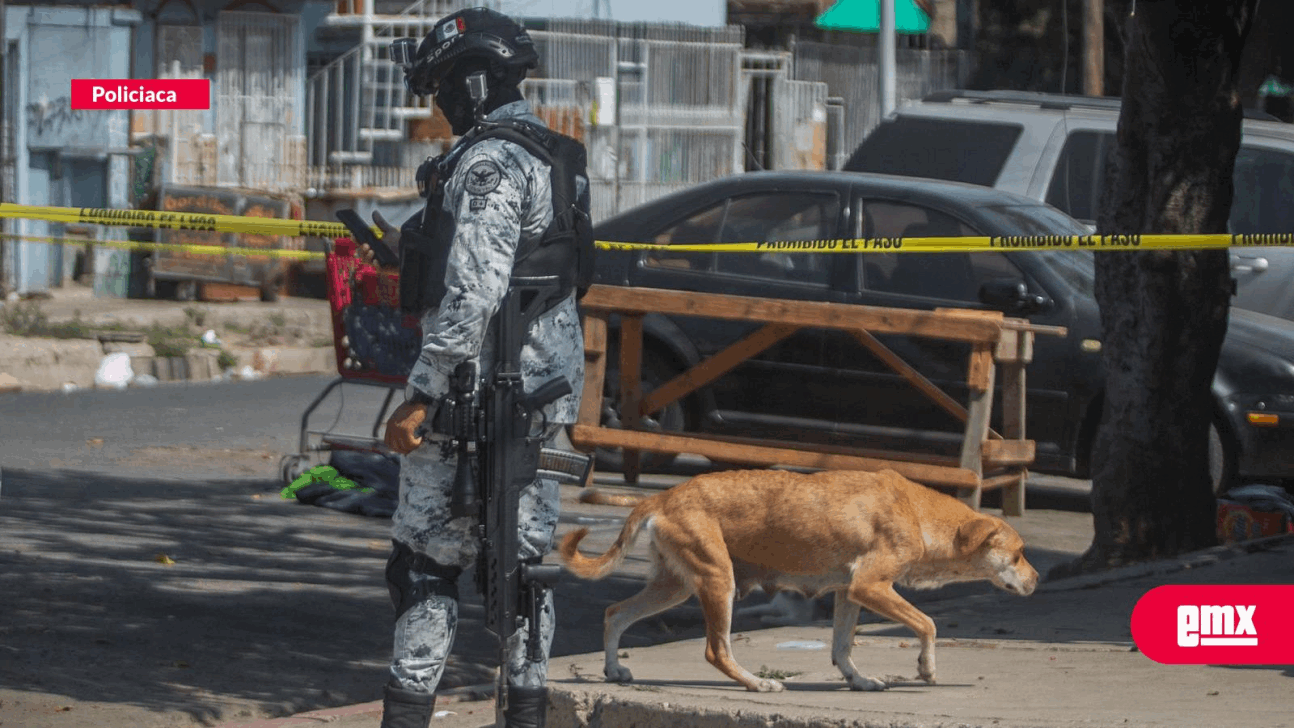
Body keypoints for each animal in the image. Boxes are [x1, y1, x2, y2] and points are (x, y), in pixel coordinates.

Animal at [556, 470, 1040, 693]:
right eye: (1018, 554)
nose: (1036, 579)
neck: (917, 513)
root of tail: (662, 495)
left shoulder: (850, 593)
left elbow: (842, 648)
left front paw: (859, 680)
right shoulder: (871, 588)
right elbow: (928, 624)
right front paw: (926, 668)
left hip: (674, 587)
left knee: (615, 613)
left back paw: (614, 669)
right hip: (717, 582)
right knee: (716, 650)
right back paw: (755, 683)